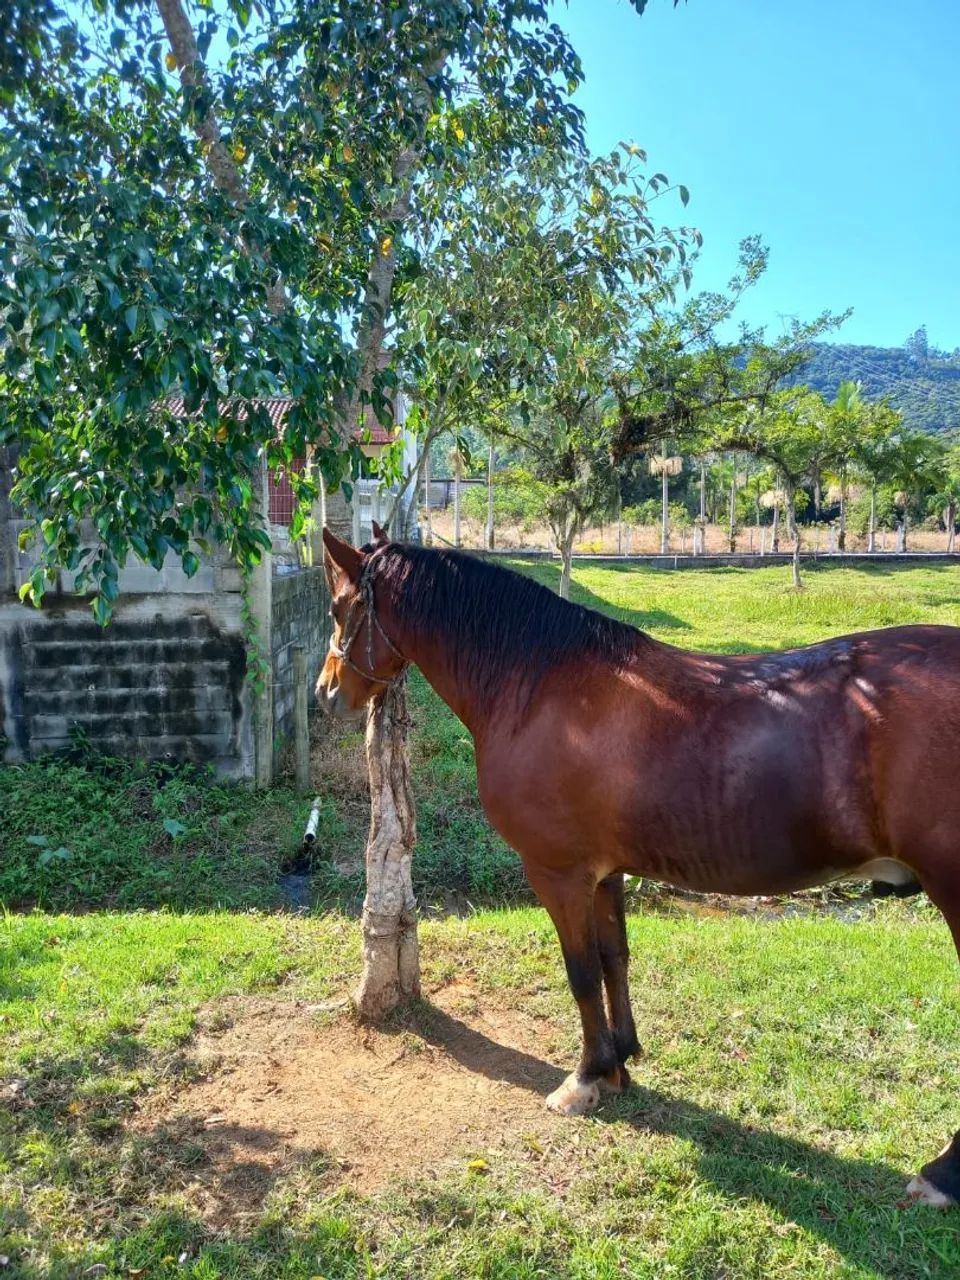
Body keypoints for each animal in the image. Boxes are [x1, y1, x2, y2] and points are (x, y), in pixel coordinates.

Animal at [317, 523, 960, 1208]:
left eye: (339, 607)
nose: (326, 693)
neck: (539, 687)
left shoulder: (560, 874)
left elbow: (579, 974)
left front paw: (584, 1077)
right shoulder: (605, 872)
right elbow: (613, 959)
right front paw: (619, 1062)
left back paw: (942, 1173)